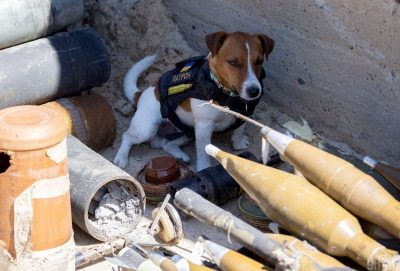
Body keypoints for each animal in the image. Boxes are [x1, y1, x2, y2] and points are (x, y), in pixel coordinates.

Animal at [114, 31, 274, 171]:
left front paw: (238, 143)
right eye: (233, 62)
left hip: (186, 133)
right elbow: (203, 150)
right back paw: (121, 158)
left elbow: (239, 129)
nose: (254, 91)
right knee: (127, 136)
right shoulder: (204, 127)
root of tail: (141, 94)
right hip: (146, 129)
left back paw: (180, 155)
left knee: (165, 144)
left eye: (259, 61)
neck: (226, 94)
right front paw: (204, 168)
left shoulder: (243, 114)